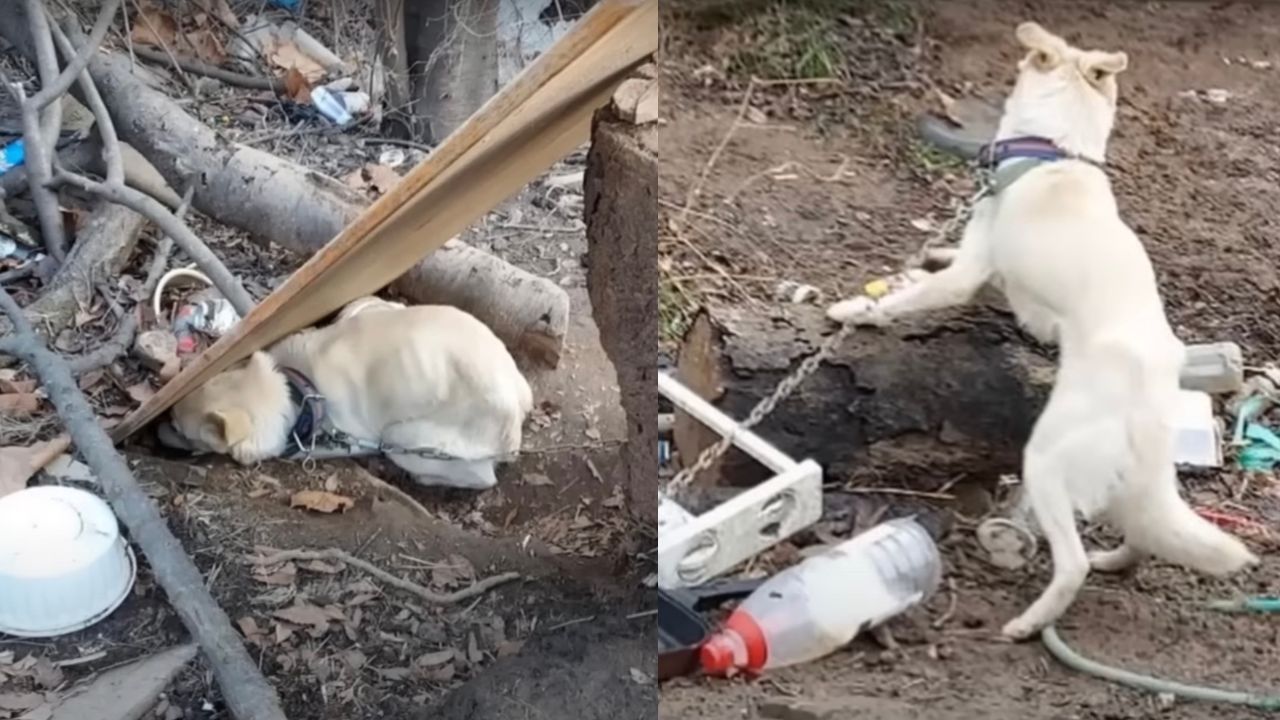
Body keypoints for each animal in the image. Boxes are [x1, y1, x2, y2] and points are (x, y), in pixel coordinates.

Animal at [158, 294, 529, 489]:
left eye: (180, 431)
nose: (155, 433)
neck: (295, 389)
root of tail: (517, 401)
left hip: (404, 439)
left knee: (479, 478)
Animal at [824, 22, 1254, 638]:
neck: (1055, 152)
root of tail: (1154, 385)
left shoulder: (971, 267)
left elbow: (907, 299)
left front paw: (856, 309)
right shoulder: (987, 268)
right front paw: (925, 258)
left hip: (1046, 461)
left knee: (1072, 564)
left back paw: (1027, 624)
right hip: (1128, 483)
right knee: (1142, 537)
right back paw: (1114, 562)